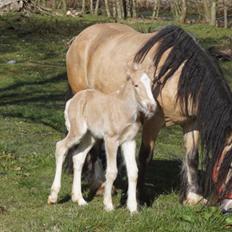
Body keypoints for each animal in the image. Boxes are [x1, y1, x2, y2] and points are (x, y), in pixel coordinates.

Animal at [47, 64, 157, 213]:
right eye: (136, 85)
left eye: (151, 84)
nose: (152, 106)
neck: (123, 109)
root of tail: (71, 101)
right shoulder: (111, 140)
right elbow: (111, 171)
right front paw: (108, 205)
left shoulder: (129, 141)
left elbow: (133, 172)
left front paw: (133, 208)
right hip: (78, 131)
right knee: (61, 147)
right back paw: (53, 196)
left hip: (90, 137)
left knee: (78, 157)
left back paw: (79, 199)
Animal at [65, 23, 232, 212]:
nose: (227, 208)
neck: (179, 75)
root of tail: (79, 38)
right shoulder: (153, 122)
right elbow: (145, 156)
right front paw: (138, 198)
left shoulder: (192, 122)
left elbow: (192, 156)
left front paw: (193, 197)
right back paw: (99, 185)